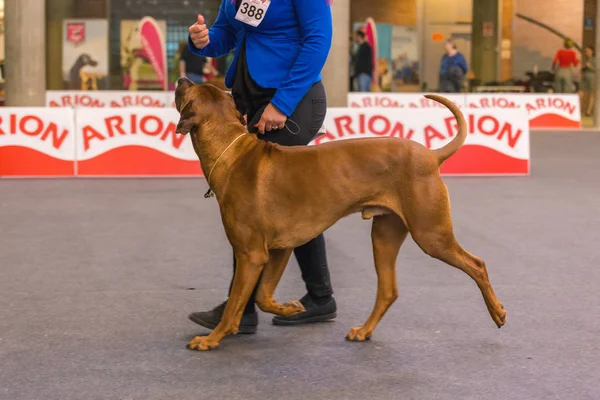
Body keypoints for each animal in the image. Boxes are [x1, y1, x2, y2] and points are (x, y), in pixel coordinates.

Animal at [175, 77, 506, 350]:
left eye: (185, 91)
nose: (181, 78)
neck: (231, 151)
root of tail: (431, 154)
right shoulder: (279, 249)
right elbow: (262, 296)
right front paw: (290, 308)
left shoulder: (251, 254)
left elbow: (235, 302)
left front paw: (212, 338)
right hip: (384, 235)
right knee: (389, 290)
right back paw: (364, 331)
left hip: (431, 234)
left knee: (477, 264)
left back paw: (498, 312)